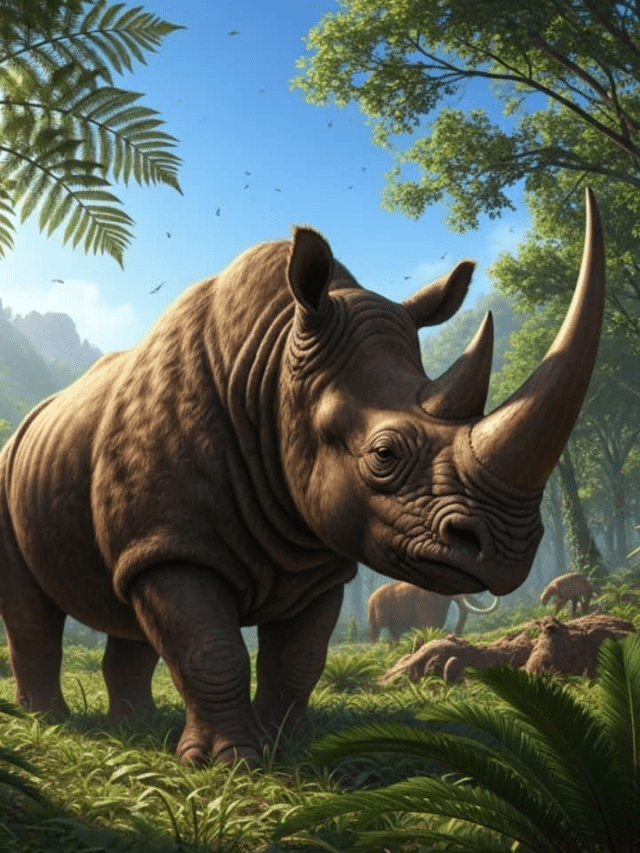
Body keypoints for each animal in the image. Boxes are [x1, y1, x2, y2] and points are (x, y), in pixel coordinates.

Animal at [0, 190, 604, 767]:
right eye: (383, 454)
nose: (510, 550)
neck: (272, 373)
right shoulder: (175, 543)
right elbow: (211, 648)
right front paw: (229, 763)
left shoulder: (316, 555)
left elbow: (299, 658)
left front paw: (289, 745)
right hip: (10, 469)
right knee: (36, 612)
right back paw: (50, 720)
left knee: (127, 603)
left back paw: (137, 725)